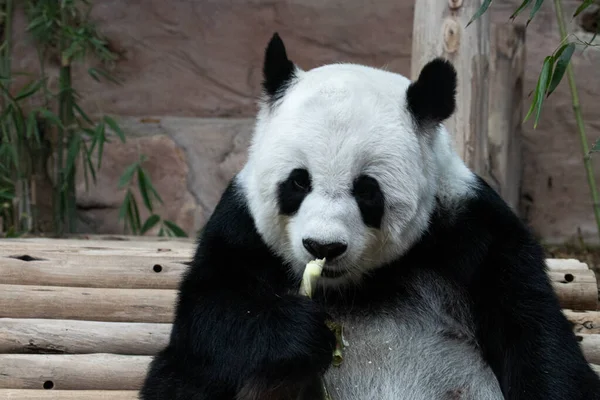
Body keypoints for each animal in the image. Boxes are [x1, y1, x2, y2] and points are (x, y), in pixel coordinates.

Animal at [141, 32, 600, 398]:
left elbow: (535, 337)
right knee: (182, 376)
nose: (323, 247)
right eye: (298, 182)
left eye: (367, 190)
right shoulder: (241, 226)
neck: (350, 286)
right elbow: (207, 314)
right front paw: (302, 333)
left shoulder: (470, 228)